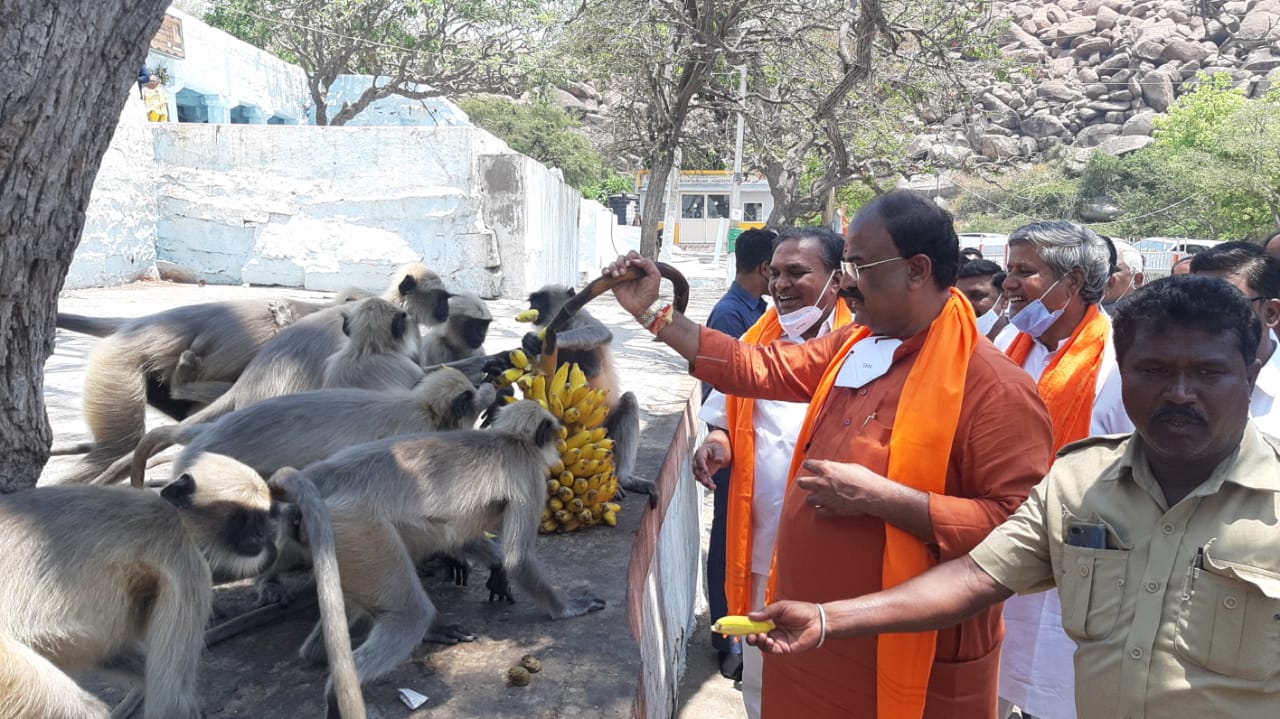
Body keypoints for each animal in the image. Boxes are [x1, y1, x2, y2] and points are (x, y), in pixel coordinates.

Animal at [0, 452, 366, 716]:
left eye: (262, 518)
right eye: (244, 518)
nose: (262, 535)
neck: (175, 516)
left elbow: (112, 650)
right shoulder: (187, 564)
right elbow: (170, 703)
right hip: (8, 668)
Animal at [262, 399, 606, 701]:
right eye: (553, 434)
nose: (559, 445)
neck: (507, 438)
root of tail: (325, 475)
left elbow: (462, 536)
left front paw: (496, 570)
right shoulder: (530, 474)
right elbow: (518, 559)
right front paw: (567, 607)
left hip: (336, 539)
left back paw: (328, 653)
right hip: (357, 527)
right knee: (410, 612)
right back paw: (342, 689)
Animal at [524, 284, 655, 504]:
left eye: (540, 300)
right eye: (533, 301)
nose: (532, 307)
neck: (565, 324)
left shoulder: (580, 318)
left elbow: (598, 334)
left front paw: (549, 340)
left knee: (628, 399)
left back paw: (624, 479)